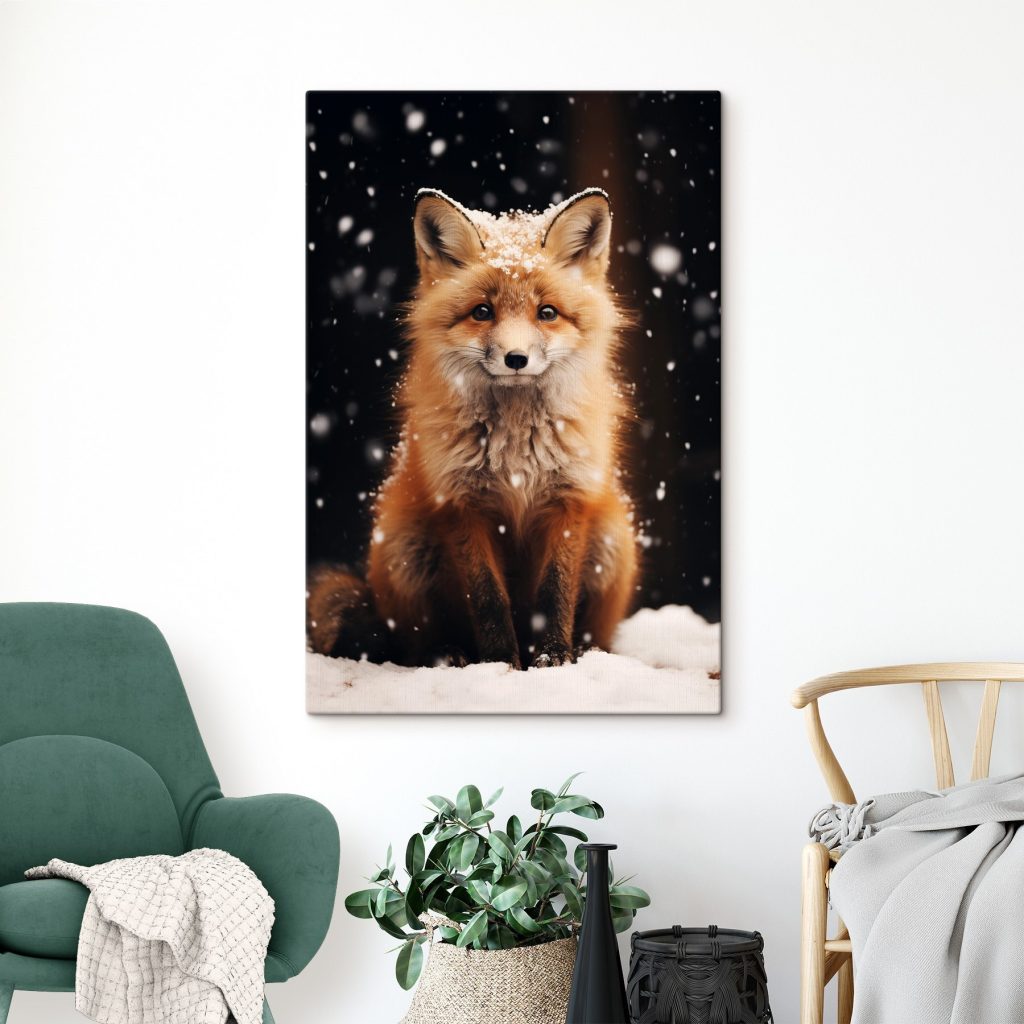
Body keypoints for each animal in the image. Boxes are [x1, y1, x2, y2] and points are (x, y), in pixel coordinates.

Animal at [307, 187, 639, 669]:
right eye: (482, 312)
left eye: (547, 313)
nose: (516, 358)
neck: (517, 446)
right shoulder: (461, 503)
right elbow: (488, 600)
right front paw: (500, 664)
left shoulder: (570, 498)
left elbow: (555, 593)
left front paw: (553, 660)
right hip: (406, 551)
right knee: (411, 644)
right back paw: (446, 654)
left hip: (613, 540)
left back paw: (588, 651)